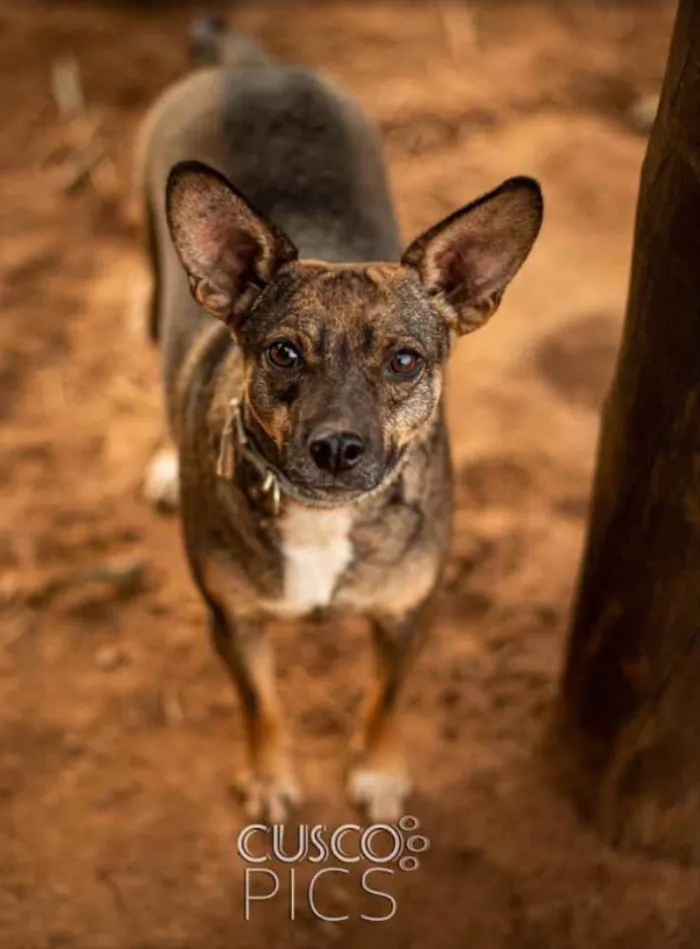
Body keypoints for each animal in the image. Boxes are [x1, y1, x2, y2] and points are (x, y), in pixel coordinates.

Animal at [135, 25, 540, 820]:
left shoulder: (408, 615)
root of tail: (252, 68)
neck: (324, 520)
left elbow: (387, 697)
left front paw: (378, 770)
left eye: (406, 361)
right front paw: (267, 777)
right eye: (283, 353)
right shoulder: (234, 621)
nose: (337, 448)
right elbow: (260, 703)